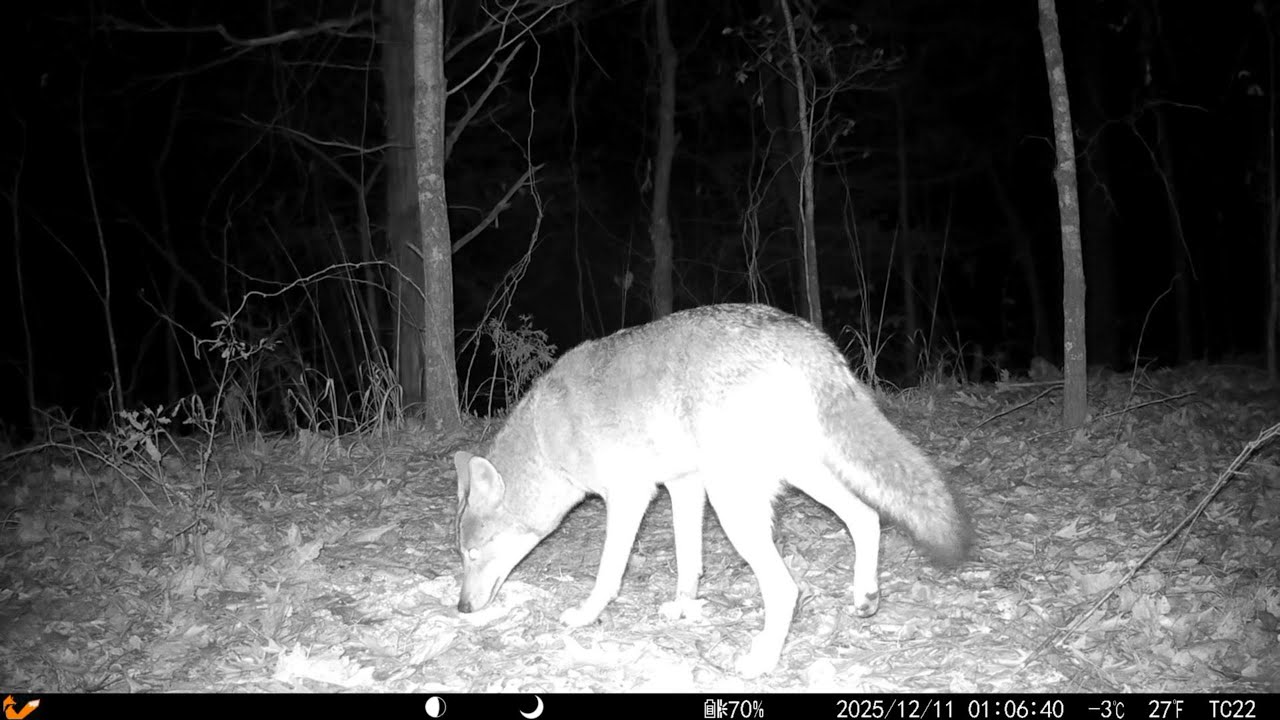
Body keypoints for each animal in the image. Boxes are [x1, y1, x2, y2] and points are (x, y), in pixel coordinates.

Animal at [454, 303, 971, 677]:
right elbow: (689, 562)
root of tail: (806, 338)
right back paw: (865, 596)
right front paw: (684, 608)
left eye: (473, 554)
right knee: (867, 517)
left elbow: (608, 574)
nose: (461, 607)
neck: (547, 441)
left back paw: (761, 662)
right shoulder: (684, 485)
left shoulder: (630, 496)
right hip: (796, 477)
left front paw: (585, 615)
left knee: (787, 588)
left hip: (735, 506)